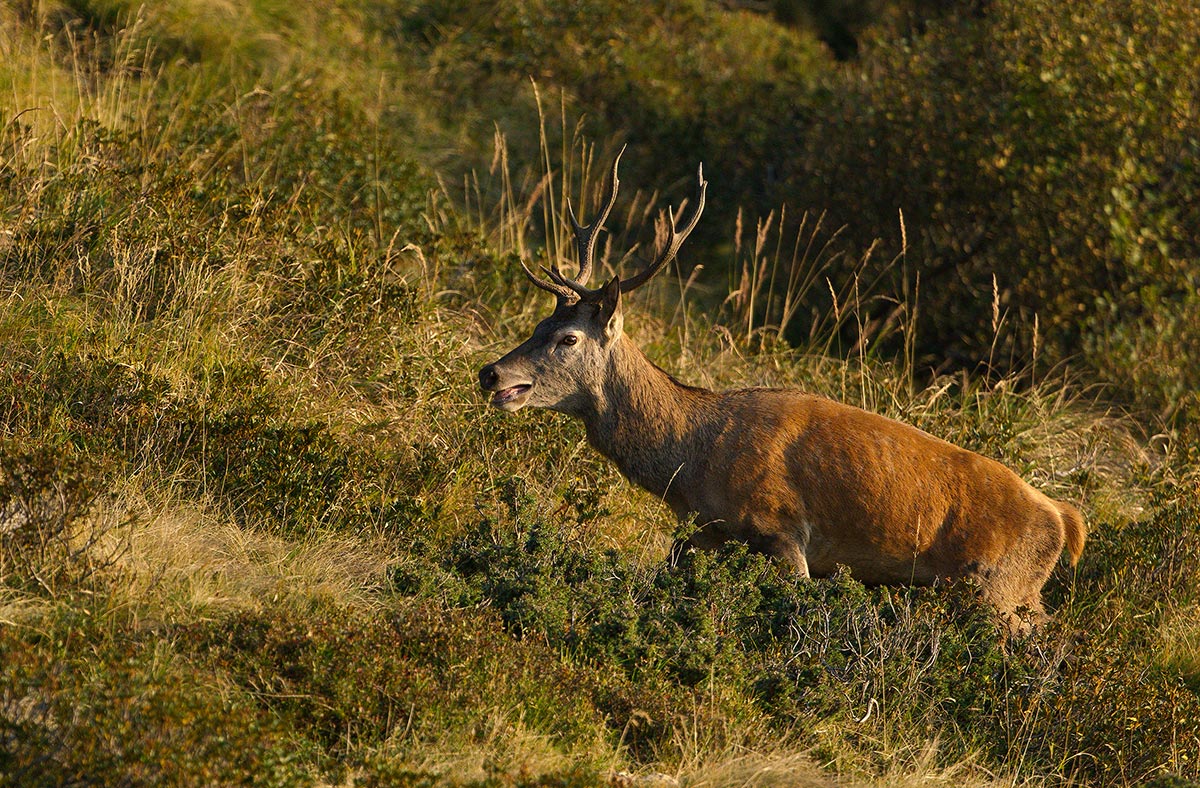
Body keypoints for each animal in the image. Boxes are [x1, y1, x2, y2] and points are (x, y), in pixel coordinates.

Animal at [478, 153, 1086, 631]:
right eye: (537, 324)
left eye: (568, 338)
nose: (491, 374)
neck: (694, 460)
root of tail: (1064, 518)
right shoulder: (707, 529)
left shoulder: (783, 530)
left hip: (999, 588)